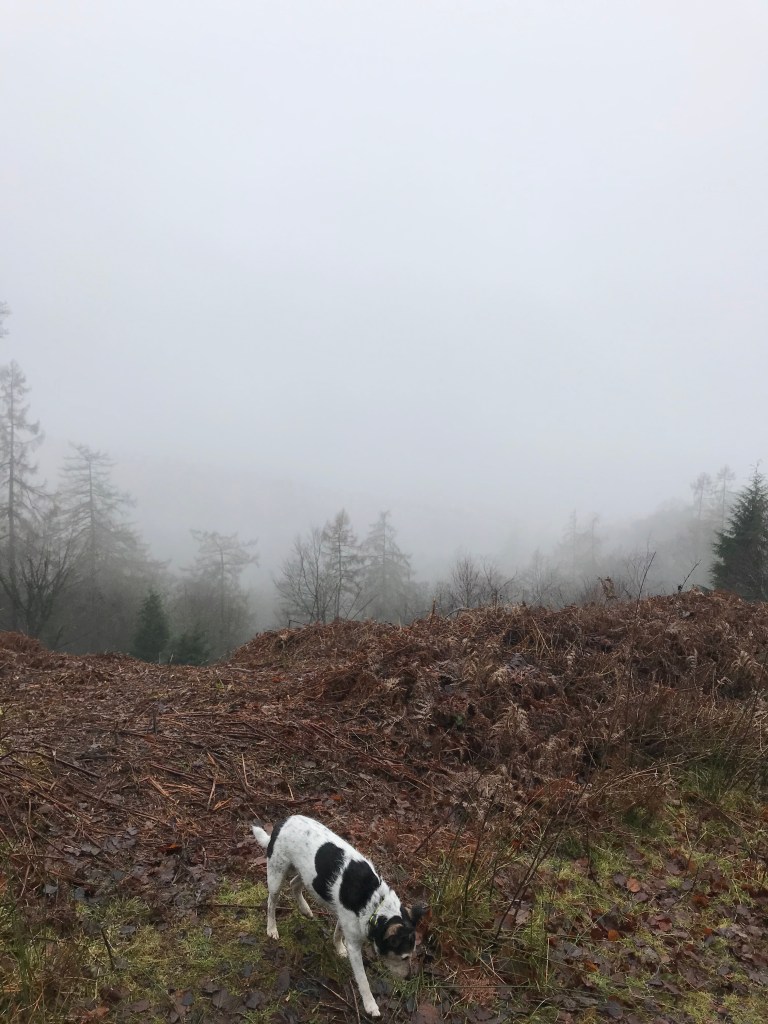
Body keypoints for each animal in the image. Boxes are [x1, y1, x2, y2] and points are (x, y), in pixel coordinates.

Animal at [252, 815, 426, 1017]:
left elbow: (338, 933)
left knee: (294, 884)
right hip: (277, 874)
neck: (375, 902)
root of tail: (281, 823)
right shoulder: (355, 947)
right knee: (271, 902)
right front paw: (370, 1005)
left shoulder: (345, 919)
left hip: (307, 875)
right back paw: (272, 928)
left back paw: (305, 909)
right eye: (404, 957)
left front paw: (338, 948)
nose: (410, 977)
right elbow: (363, 980)